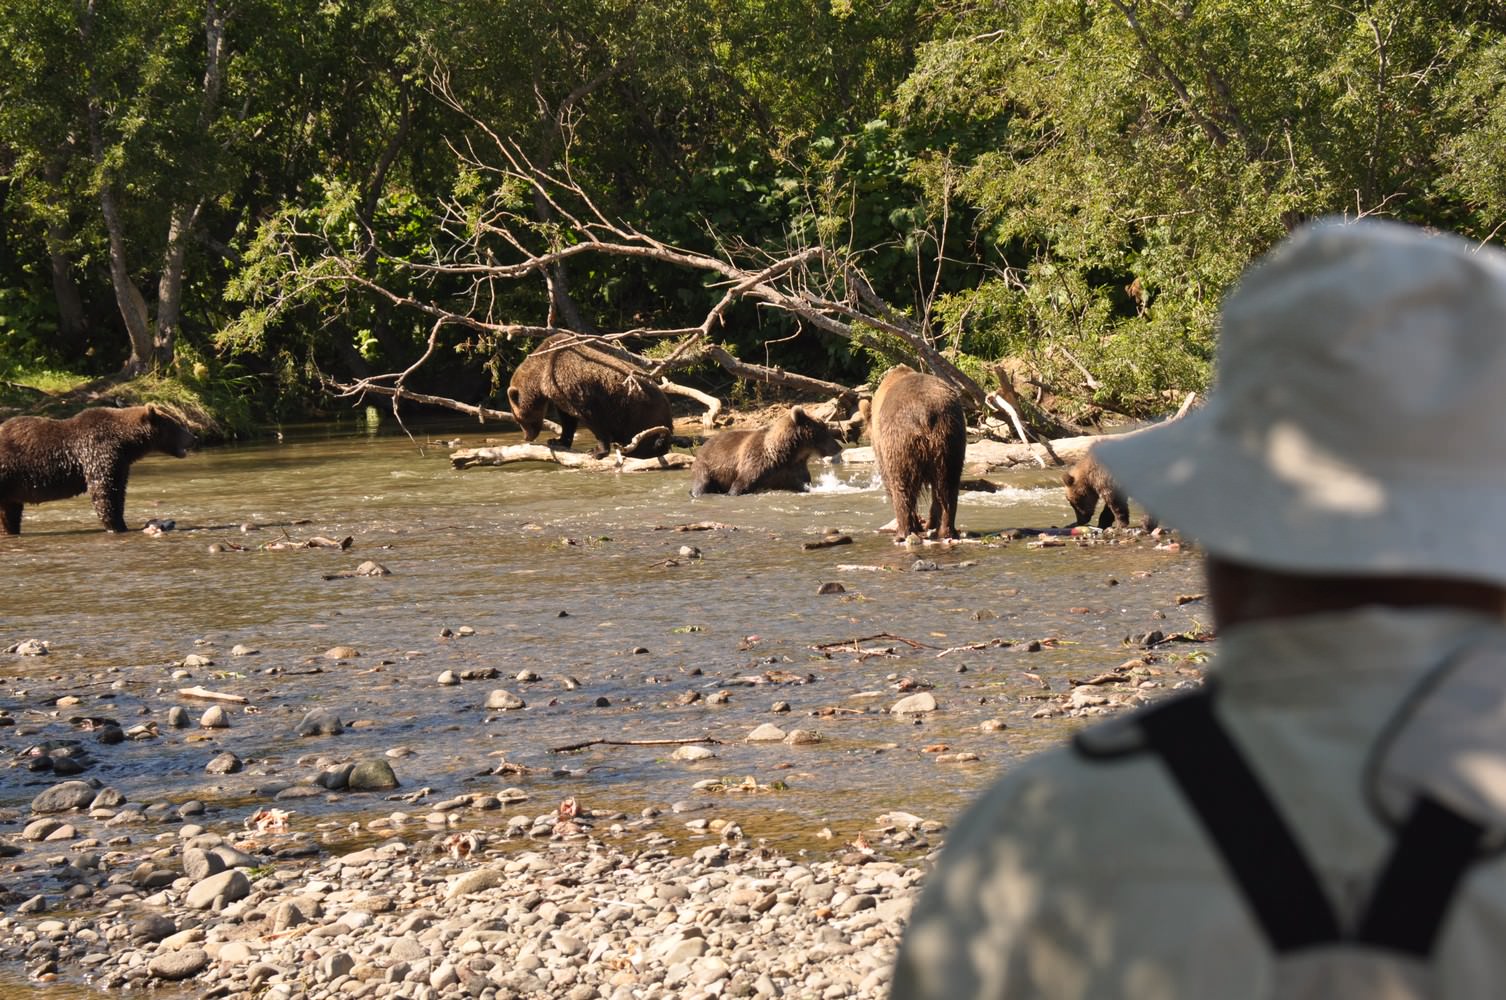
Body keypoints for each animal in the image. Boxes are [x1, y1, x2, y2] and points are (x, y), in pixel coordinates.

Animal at [0, 403, 197, 536]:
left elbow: (118, 490)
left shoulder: (121, 462)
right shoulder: (99, 450)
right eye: (176, 424)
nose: (193, 437)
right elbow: (105, 492)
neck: (126, 442)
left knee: (10, 511)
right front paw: (117, 526)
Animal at [506, 335, 671, 460]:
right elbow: (567, 420)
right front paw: (557, 440)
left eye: (519, 419)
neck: (541, 377)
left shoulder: (574, 386)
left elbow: (593, 419)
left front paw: (596, 451)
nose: (527, 437)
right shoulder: (561, 394)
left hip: (640, 412)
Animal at [689, 403, 849, 496]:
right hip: (707, 466)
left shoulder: (794, 472)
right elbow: (740, 485)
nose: (839, 447)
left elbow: (803, 484)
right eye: (824, 430)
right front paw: (733, 492)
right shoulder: (756, 464)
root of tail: (704, 445)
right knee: (701, 484)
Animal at [873, 365, 963, 539]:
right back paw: (946, 530)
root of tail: (924, 413)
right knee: (949, 485)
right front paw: (928, 523)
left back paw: (904, 531)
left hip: (900, 440)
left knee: (901, 486)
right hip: (950, 436)